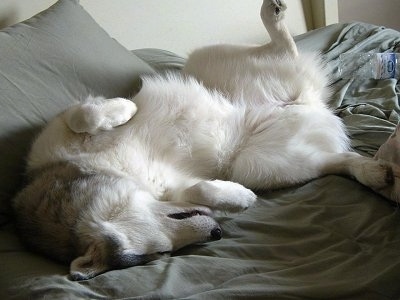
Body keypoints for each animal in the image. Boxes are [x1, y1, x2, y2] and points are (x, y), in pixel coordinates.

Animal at [12, 0, 394, 282]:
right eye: (161, 254)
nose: (216, 233)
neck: (107, 173)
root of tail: (307, 103)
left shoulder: (56, 130)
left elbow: (84, 115)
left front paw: (125, 109)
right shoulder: (177, 185)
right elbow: (201, 188)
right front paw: (237, 198)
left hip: (211, 60)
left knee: (285, 49)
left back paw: (273, 16)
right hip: (263, 164)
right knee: (340, 159)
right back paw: (374, 173)